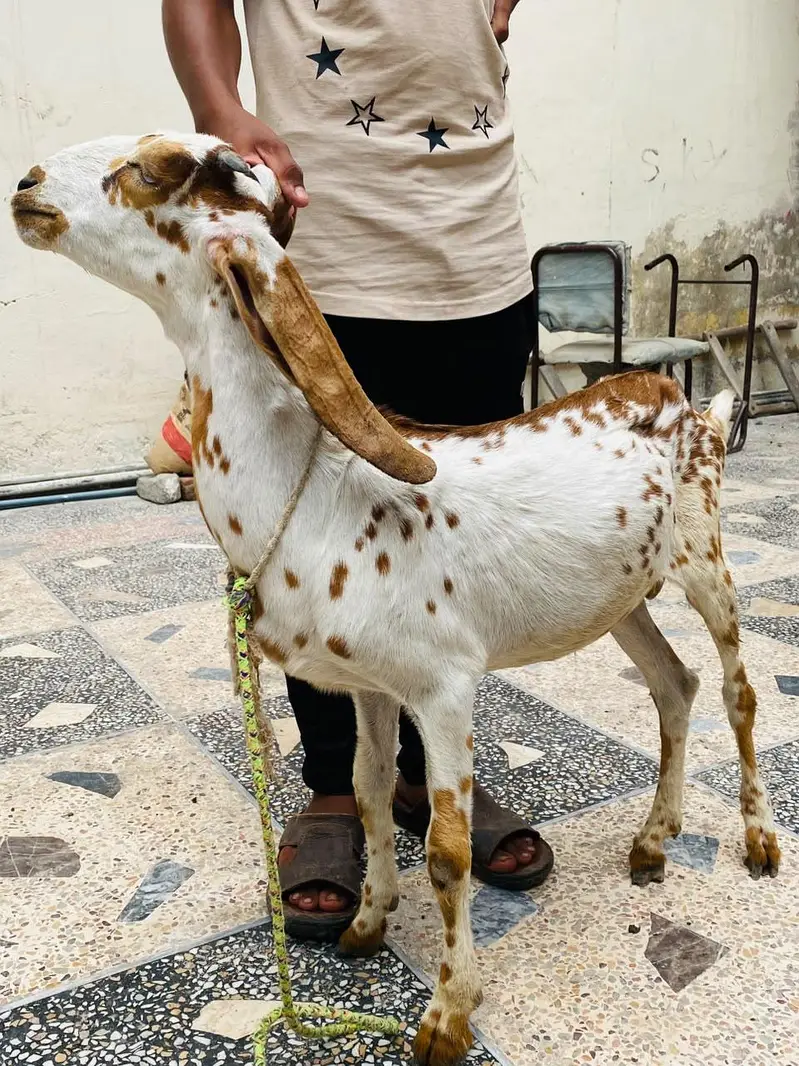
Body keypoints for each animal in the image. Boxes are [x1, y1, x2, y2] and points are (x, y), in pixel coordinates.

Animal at [12, 133, 780, 1066]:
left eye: (152, 168)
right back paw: (650, 841)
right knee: (674, 685)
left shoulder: (444, 686)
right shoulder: (372, 688)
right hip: (621, 597)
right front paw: (368, 922)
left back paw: (755, 840)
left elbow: (446, 851)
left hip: (706, 561)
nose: (27, 186)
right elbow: (370, 791)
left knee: (737, 690)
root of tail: (682, 398)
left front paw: (447, 1016)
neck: (317, 494)